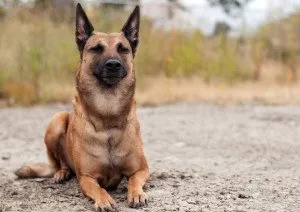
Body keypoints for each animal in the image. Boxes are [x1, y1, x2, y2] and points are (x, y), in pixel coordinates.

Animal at [15, 3, 149, 212]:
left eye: (123, 49)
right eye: (96, 49)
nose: (113, 64)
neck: (108, 118)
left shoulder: (142, 169)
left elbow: (134, 181)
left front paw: (136, 194)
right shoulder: (87, 178)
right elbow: (98, 189)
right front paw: (104, 200)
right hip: (57, 120)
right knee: (61, 163)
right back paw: (62, 173)